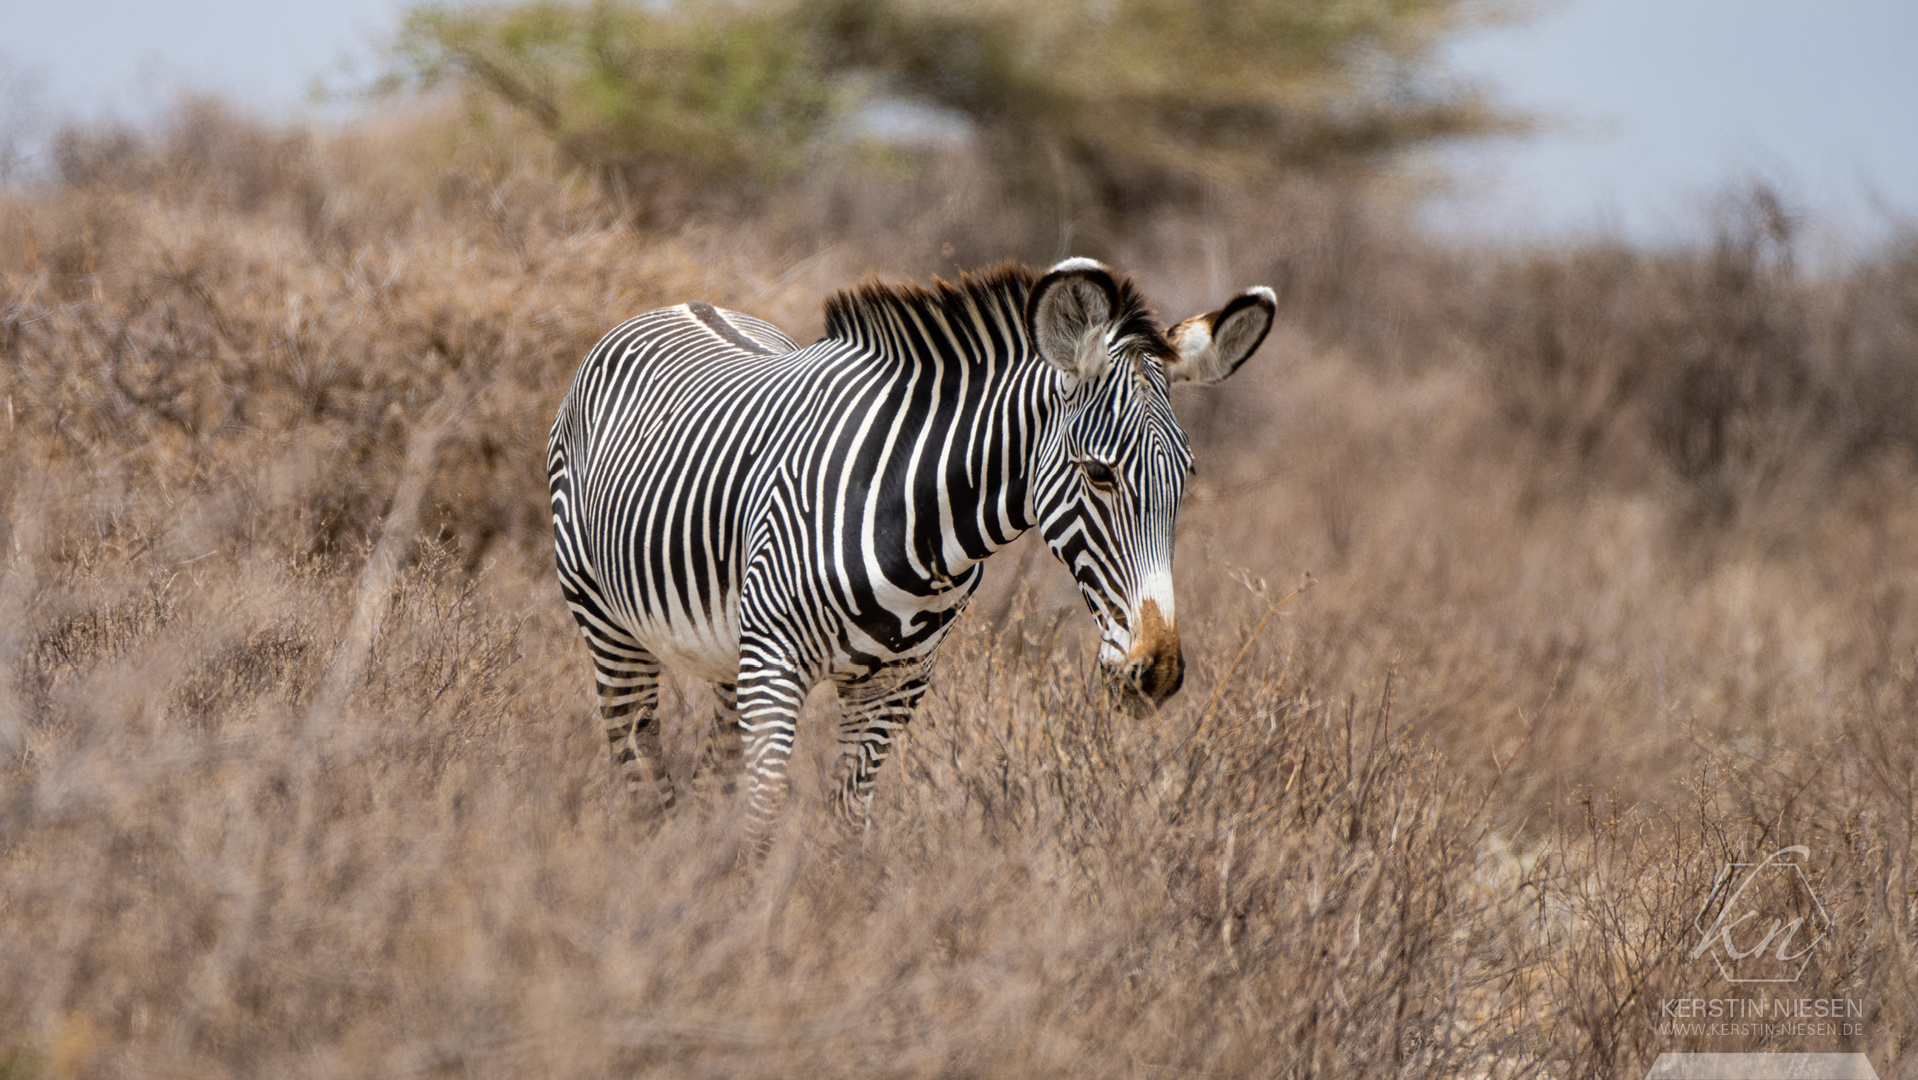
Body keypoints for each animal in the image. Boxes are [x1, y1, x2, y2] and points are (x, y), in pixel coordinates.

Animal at [552, 257, 1273, 847]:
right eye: (1100, 474)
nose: (1158, 672)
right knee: (640, 772)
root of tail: (678, 305)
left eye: (1187, 477)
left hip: (729, 653)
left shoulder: (895, 686)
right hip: (612, 629)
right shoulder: (775, 666)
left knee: (708, 777)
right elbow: (762, 823)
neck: (919, 530)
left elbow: (845, 831)